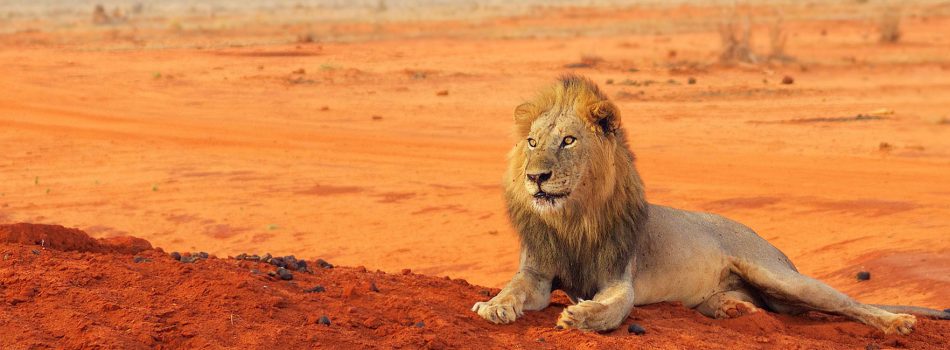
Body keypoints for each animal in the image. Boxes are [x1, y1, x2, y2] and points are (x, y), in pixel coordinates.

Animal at [472, 75, 948, 334]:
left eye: (568, 141)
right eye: (532, 143)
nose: (535, 176)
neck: (573, 220)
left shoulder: (620, 278)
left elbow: (613, 309)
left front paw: (581, 316)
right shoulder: (537, 274)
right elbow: (514, 288)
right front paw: (494, 306)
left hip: (779, 275)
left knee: (847, 302)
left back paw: (898, 323)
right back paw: (731, 307)